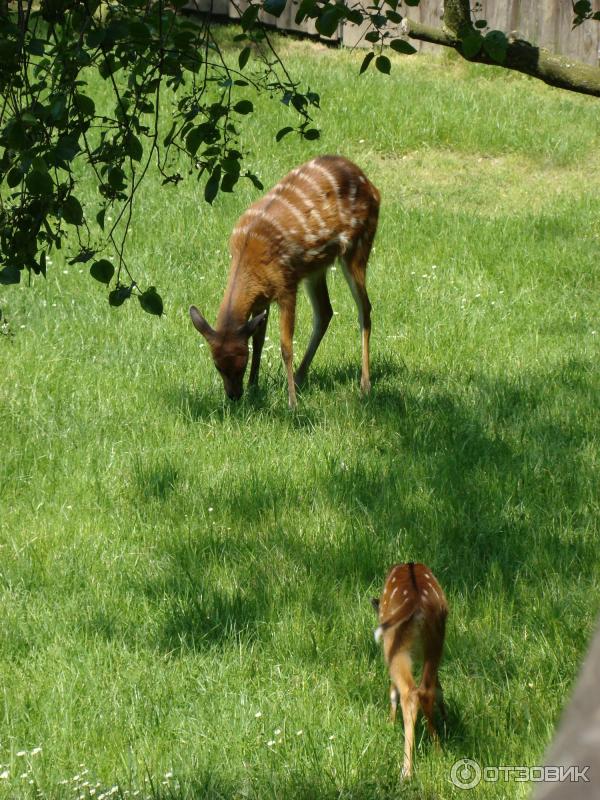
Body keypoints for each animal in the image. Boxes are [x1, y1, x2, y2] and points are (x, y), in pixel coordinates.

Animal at [190, 155, 382, 406]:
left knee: (364, 308)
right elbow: (259, 340)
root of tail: (373, 187)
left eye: (241, 363)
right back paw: (301, 377)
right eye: (217, 365)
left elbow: (285, 345)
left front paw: (291, 403)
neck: (248, 256)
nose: (234, 396)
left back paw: (364, 384)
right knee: (325, 311)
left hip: (358, 244)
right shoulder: (262, 298)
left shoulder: (286, 284)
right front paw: (254, 387)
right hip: (315, 268)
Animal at [372, 560, 448, 780]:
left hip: (394, 645)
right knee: (427, 689)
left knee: (409, 692)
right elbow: (439, 687)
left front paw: (389, 722)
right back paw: (438, 749)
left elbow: (393, 690)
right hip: (436, 641)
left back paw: (406, 771)